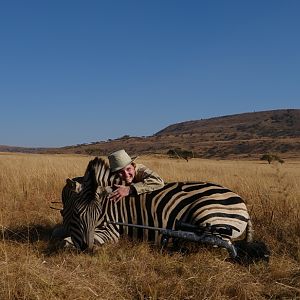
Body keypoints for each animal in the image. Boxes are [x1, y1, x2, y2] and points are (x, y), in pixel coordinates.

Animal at [60, 157, 270, 262]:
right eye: (77, 214)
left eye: (99, 216)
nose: (87, 249)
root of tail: (242, 202)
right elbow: (60, 233)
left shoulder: (111, 231)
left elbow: (65, 242)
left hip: (207, 214)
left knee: (216, 244)